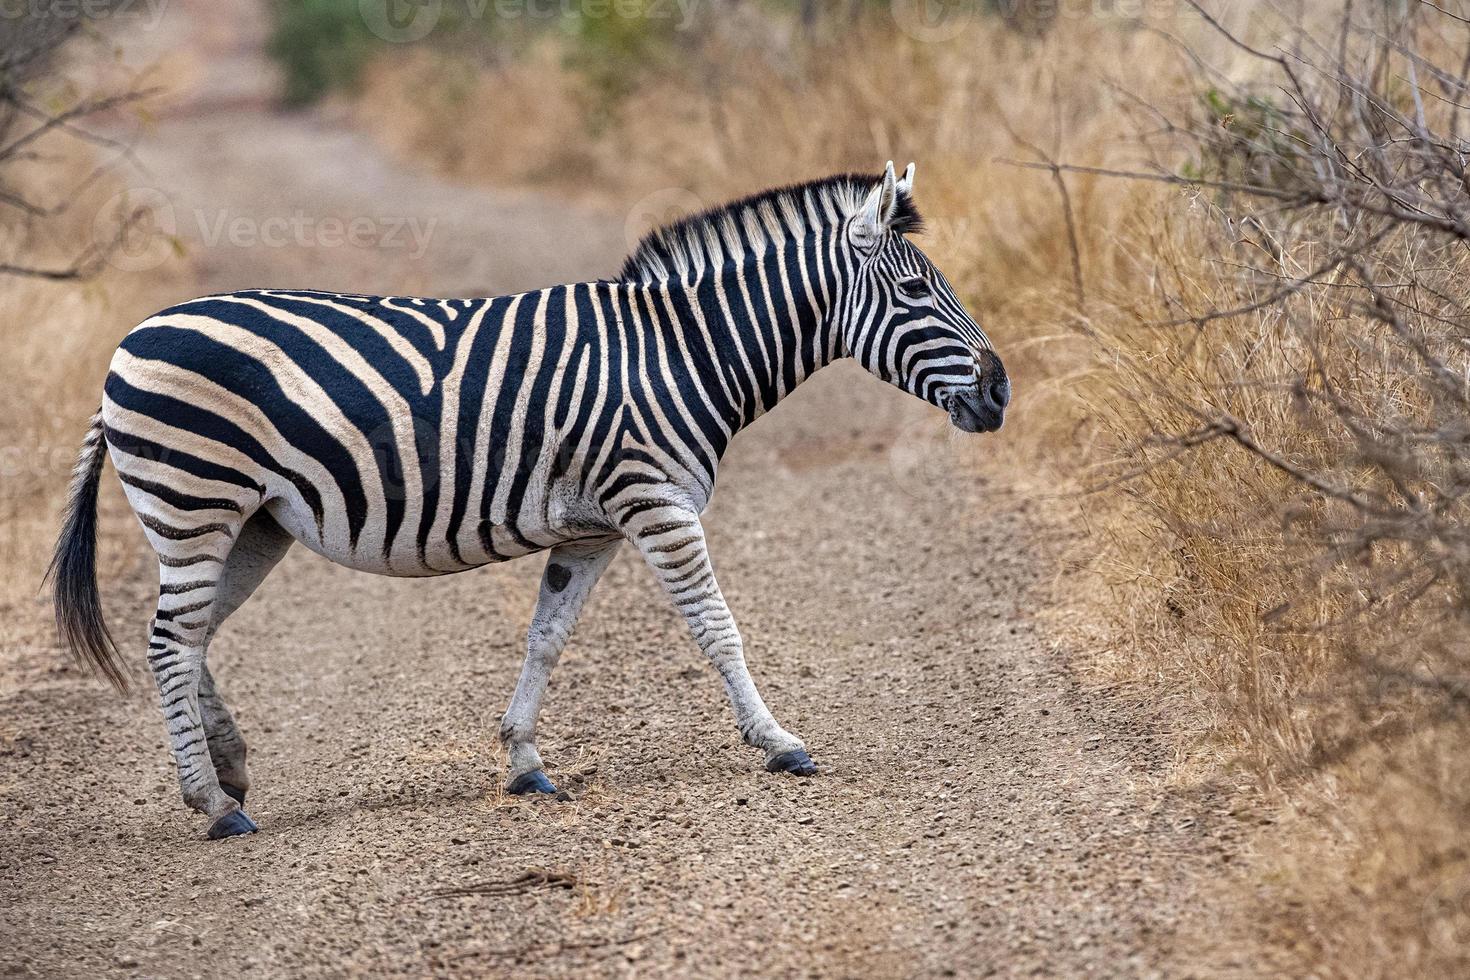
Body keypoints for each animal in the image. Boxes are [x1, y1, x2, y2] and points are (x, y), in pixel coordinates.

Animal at [48, 163, 1011, 846]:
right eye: (917, 293)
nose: (1001, 392)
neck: (684, 352)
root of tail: (128, 341)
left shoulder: (595, 528)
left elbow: (547, 638)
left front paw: (523, 762)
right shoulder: (657, 502)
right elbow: (718, 627)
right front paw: (780, 741)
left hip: (250, 523)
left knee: (192, 638)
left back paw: (233, 775)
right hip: (195, 502)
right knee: (169, 641)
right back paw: (213, 805)